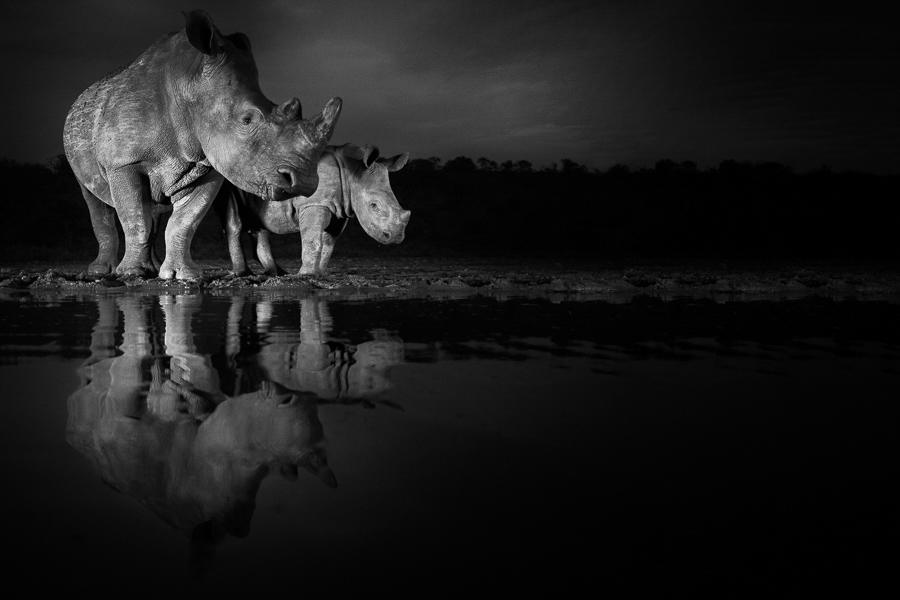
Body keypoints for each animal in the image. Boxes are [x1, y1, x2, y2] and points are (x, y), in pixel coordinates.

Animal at [63, 10, 341, 279]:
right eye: (247, 120)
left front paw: (182, 275)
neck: (188, 87)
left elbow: (185, 220)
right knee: (95, 201)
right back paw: (103, 271)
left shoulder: (208, 166)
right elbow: (135, 218)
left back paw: (152, 268)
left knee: (154, 210)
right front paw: (132, 273)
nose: (304, 182)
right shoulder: (124, 162)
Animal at [215, 143, 410, 276]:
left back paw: (278, 273)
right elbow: (312, 238)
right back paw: (243, 274)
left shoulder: (341, 208)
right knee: (234, 219)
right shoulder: (314, 202)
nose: (395, 237)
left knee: (260, 225)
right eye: (374, 205)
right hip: (227, 182)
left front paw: (320, 273)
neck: (353, 171)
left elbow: (328, 242)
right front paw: (305, 275)